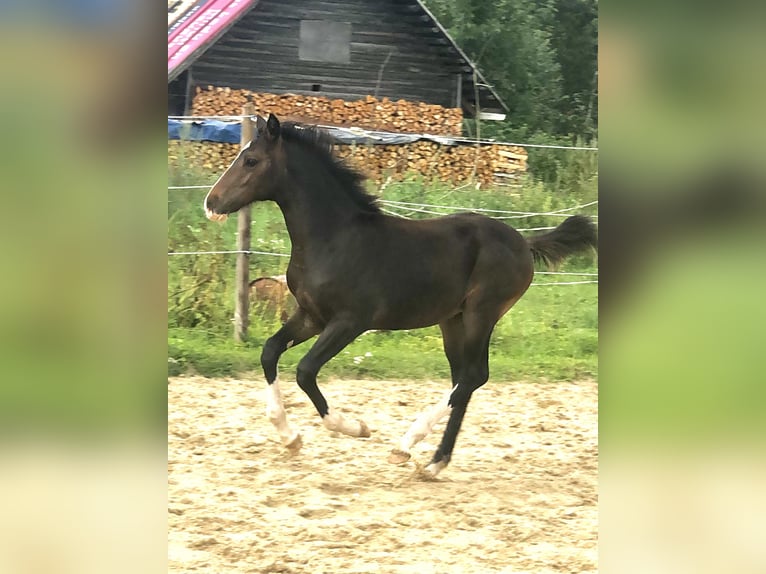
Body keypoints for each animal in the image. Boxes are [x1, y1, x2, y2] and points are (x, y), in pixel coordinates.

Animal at [201, 115, 596, 480]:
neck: (333, 238)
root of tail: (525, 244)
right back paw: (434, 463)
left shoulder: (349, 322)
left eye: (251, 161)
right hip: (452, 320)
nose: (211, 203)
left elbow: (305, 371)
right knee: (464, 378)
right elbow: (269, 352)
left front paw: (356, 427)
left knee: (473, 376)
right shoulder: (311, 315)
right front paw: (290, 438)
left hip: (481, 314)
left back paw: (407, 446)